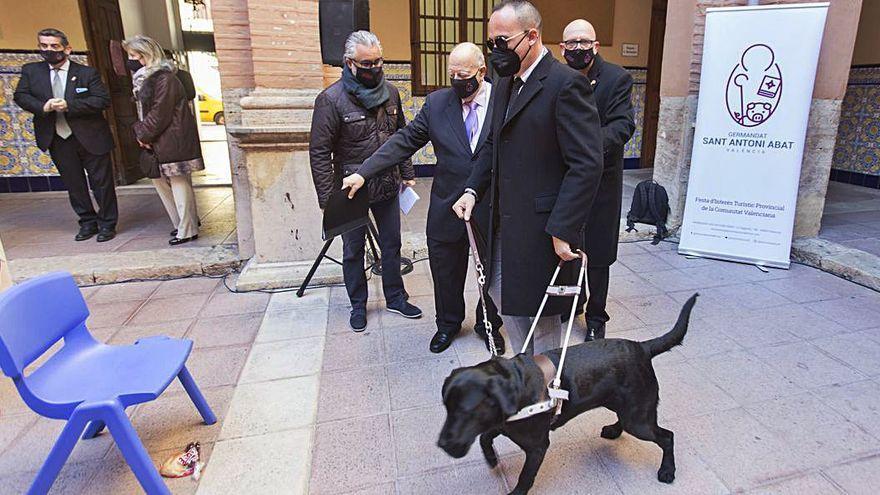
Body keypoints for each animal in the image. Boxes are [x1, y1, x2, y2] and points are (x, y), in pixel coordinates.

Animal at [436, 296, 696, 494]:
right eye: (447, 408)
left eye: (466, 411)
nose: (442, 445)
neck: (517, 387)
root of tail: (643, 347)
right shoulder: (502, 423)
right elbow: (484, 437)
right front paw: (491, 458)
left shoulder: (537, 447)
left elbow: (524, 477)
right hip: (624, 406)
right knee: (627, 420)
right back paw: (613, 430)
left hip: (638, 419)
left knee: (667, 437)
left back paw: (667, 470)